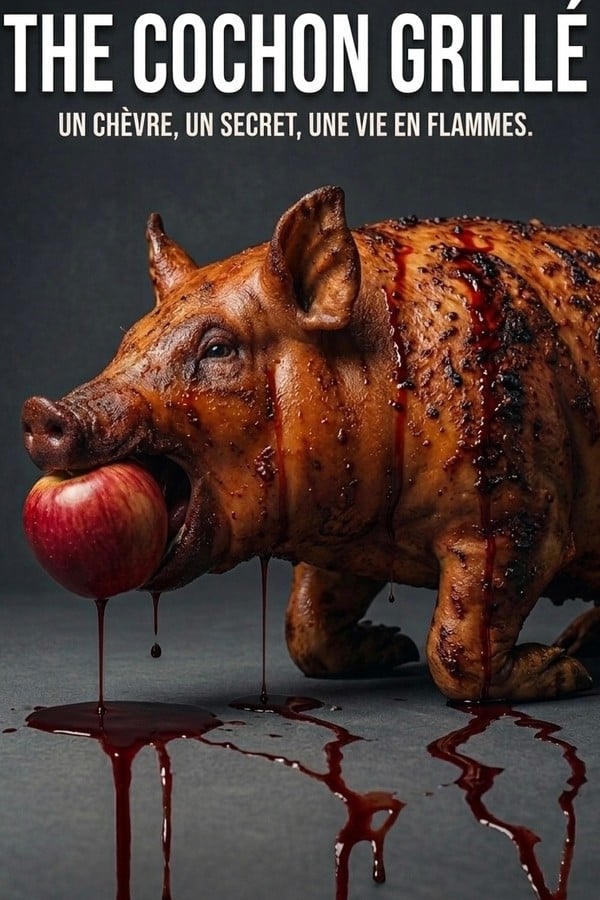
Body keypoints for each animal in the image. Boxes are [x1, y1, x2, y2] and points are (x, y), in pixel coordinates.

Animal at [22, 186, 600, 703]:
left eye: (218, 349)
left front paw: (564, 671)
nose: (41, 411)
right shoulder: (345, 517)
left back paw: (575, 649)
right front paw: (394, 647)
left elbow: (455, 649)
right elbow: (305, 625)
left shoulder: (518, 509)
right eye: (127, 342)